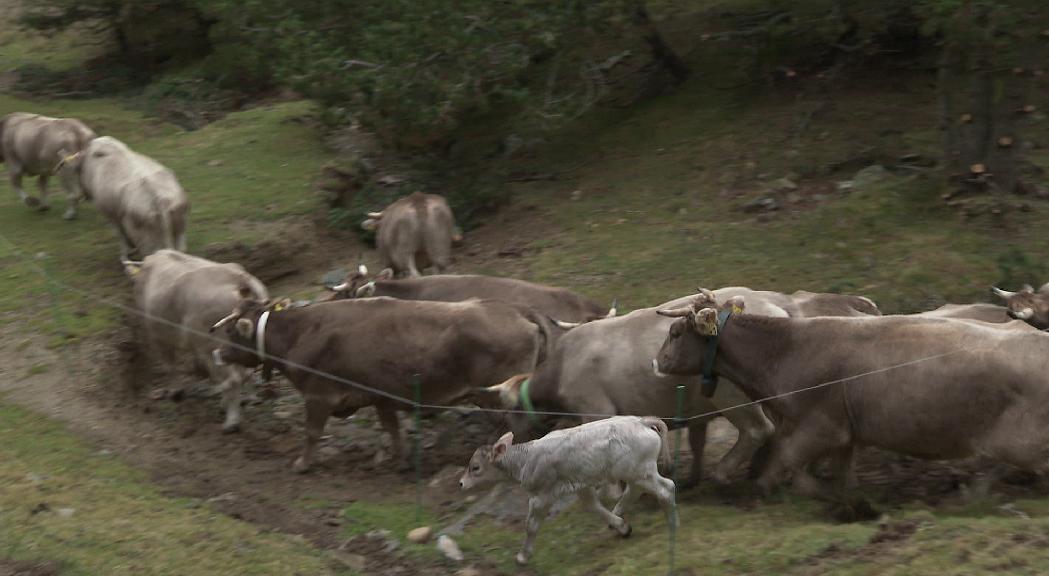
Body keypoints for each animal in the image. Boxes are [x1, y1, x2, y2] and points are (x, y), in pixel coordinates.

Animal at [124, 249, 268, 434]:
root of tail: (240, 280)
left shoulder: (159, 337)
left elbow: (170, 365)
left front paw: (175, 391)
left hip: (211, 346)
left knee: (232, 379)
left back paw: (231, 422)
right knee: (245, 372)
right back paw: (249, 398)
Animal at [207, 295, 562, 472]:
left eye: (232, 330)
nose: (216, 350)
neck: (303, 332)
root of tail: (518, 309)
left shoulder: (318, 395)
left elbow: (311, 433)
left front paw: (302, 464)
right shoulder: (380, 396)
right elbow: (392, 428)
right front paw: (402, 460)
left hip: (503, 392)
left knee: (521, 423)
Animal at [474, 285, 876, 486]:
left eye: (507, 411)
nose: (511, 439)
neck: (561, 366)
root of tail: (781, 307)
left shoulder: (596, 411)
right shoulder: (688, 411)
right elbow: (691, 440)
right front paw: (682, 474)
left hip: (734, 396)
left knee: (760, 429)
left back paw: (729, 473)